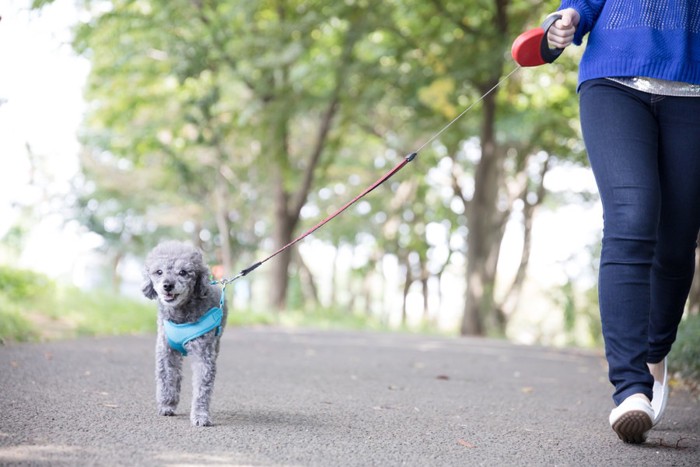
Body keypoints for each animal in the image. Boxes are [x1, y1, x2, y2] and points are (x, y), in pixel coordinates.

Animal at [141, 241, 228, 428]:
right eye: (159, 272)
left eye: (183, 272)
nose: (168, 285)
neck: (180, 315)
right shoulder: (166, 350)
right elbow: (167, 378)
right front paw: (167, 404)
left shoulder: (204, 355)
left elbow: (202, 388)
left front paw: (200, 415)